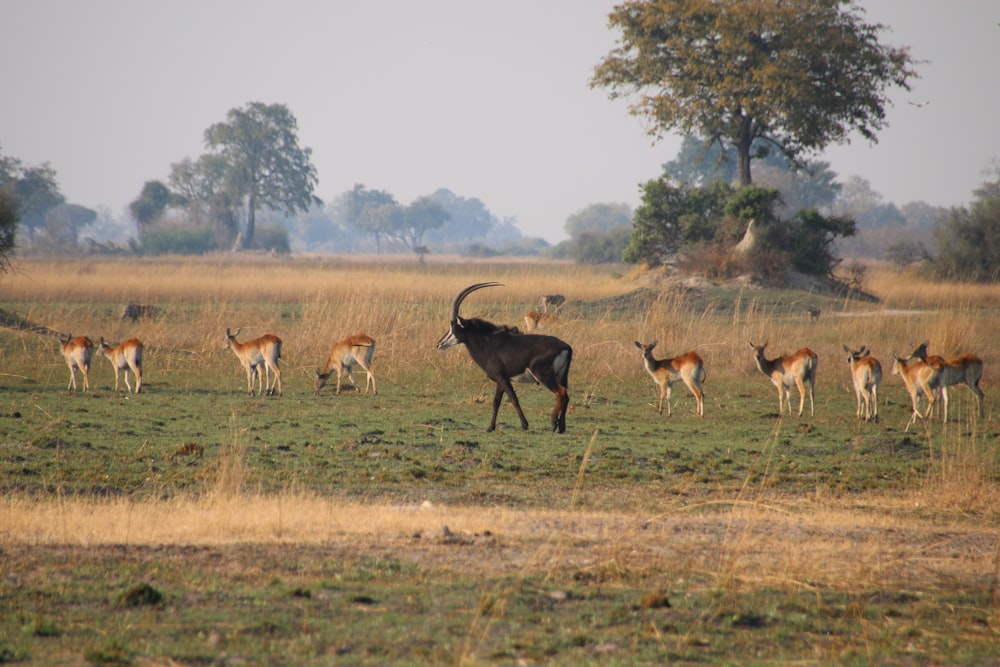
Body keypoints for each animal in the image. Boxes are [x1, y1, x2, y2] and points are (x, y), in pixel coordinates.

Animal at [436, 284, 576, 436]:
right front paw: (490, 427)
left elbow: (513, 399)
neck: (489, 343)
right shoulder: (500, 380)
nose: (439, 344)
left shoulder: (502, 378)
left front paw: (524, 425)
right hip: (560, 376)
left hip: (544, 376)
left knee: (561, 392)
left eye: (453, 327)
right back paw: (561, 426)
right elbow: (496, 402)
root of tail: (566, 347)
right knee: (566, 395)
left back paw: (553, 424)